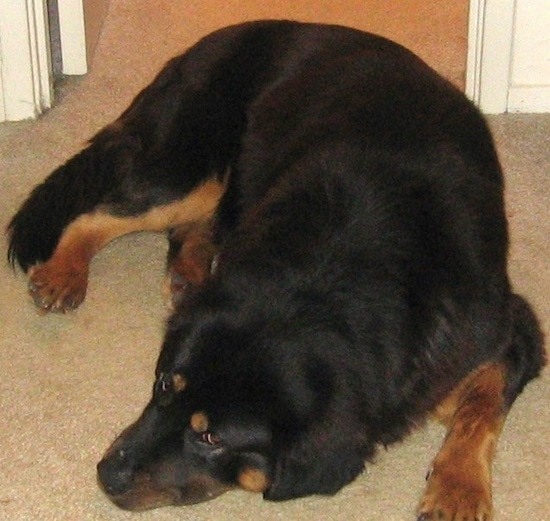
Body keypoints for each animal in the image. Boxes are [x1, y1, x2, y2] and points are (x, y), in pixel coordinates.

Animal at [7, 20, 548, 520]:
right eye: (163, 387)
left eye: (211, 438)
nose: (106, 474)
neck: (327, 279)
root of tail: (207, 44)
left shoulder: (508, 330)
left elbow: (480, 406)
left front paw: (458, 488)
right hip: (200, 165)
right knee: (103, 212)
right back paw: (64, 272)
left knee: (185, 226)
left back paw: (188, 276)